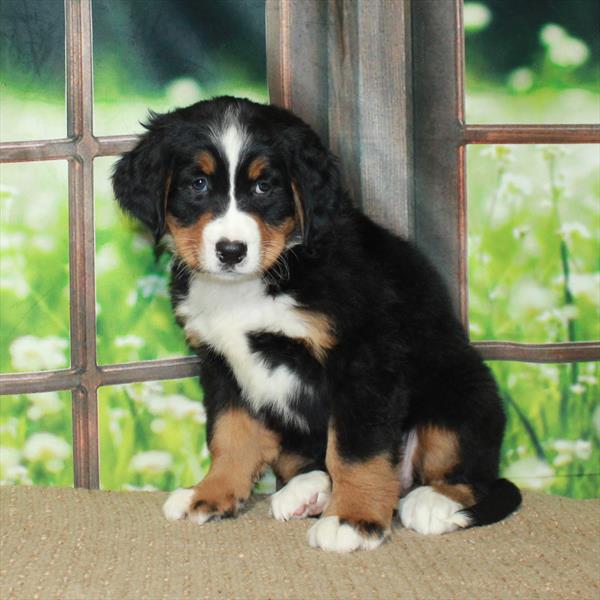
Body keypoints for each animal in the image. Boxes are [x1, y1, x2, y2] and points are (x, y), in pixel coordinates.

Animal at [112, 96, 520, 552]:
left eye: (264, 187)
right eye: (196, 184)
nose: (231, 251)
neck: (260, 280)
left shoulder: (364, 360)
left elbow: (356, 450)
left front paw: (353, 519)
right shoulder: (221, 365)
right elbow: (230, 436)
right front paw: (210, 494)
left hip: (463, 391)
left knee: (475, 475)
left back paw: (431, 501)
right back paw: (306, 492)